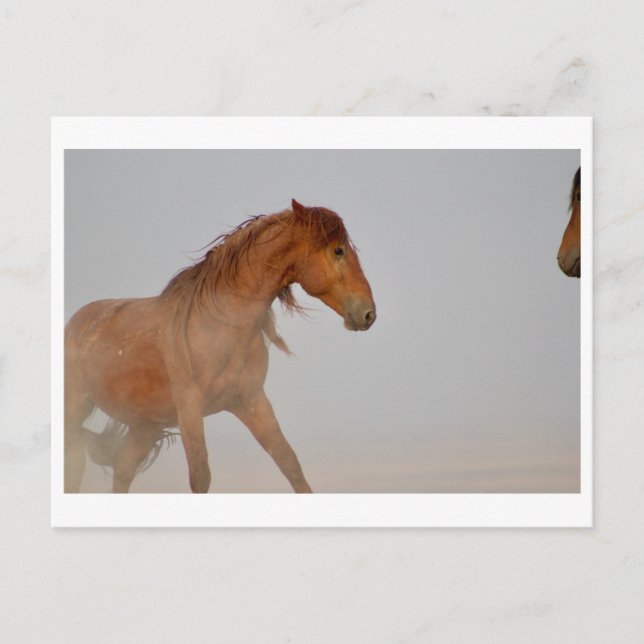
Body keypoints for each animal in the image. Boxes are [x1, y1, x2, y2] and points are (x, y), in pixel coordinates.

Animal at [64, 199, 376, 493]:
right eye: (338, 251)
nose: (368, 314)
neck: (221, 328)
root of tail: (76, 323)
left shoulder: (251, 400)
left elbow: (290, 464)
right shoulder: (190, 407)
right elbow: (200, 477)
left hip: (146, 427)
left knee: (122, 474)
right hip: (77, 415)